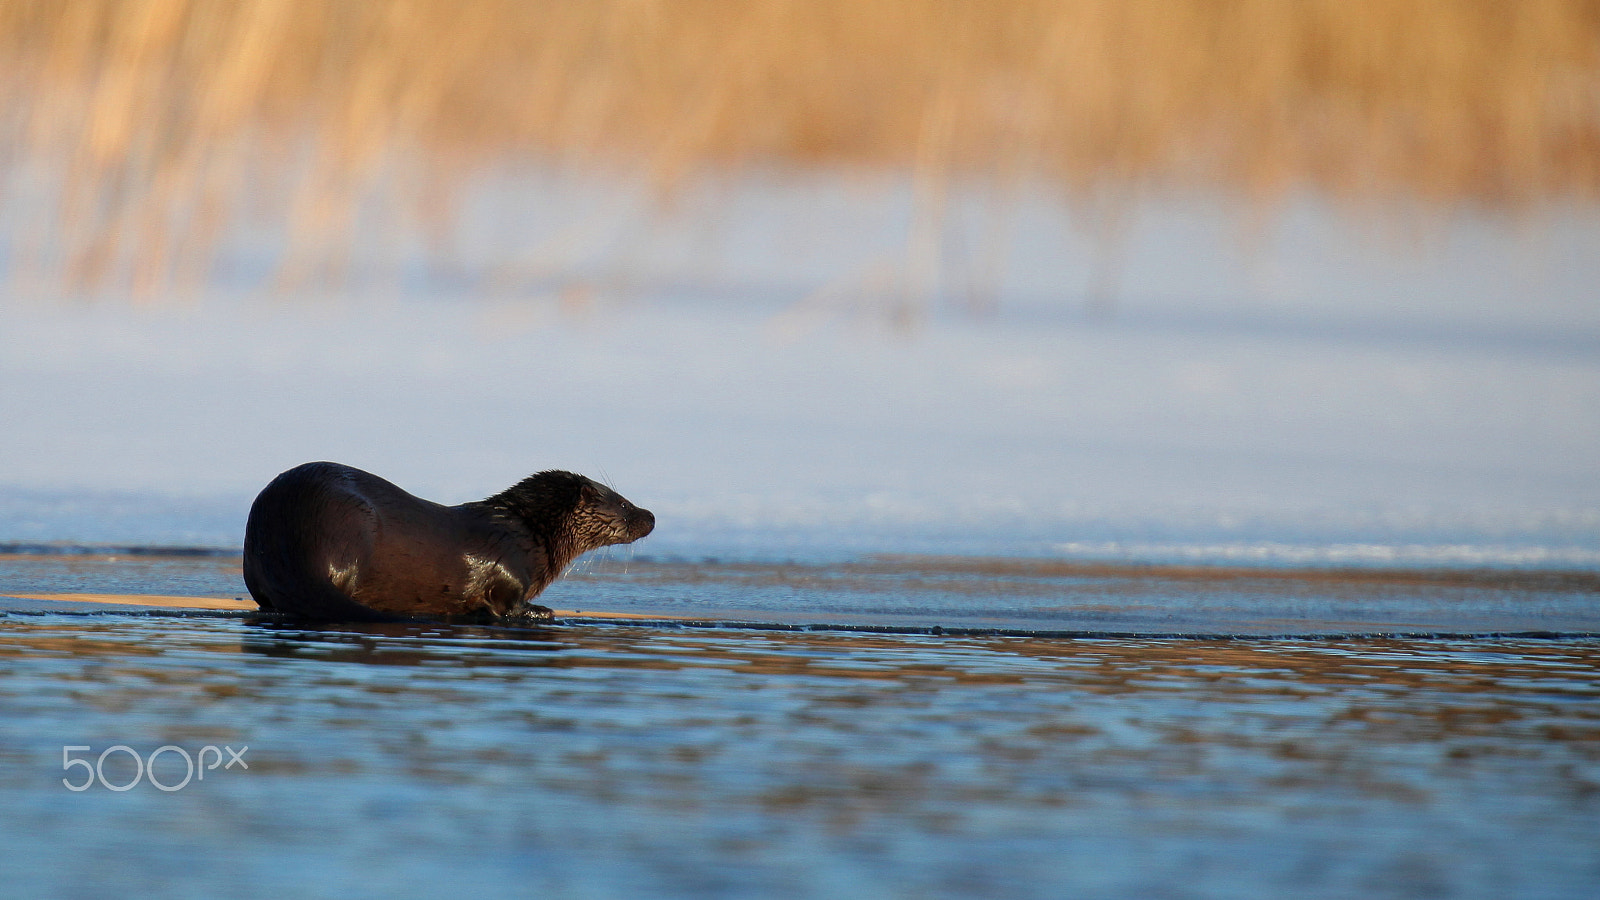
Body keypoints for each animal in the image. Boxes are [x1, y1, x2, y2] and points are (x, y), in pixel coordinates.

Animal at [242, 462, 654, 622]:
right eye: (622, 502)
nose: (650, 515)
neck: (525, 532)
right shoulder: (509, 570)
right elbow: (507, 604)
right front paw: (541, 611)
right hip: (351, 527)